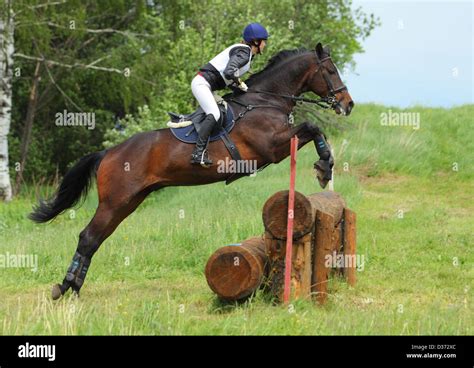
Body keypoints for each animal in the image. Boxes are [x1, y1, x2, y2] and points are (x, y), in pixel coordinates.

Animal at [29, 42, 354, 300]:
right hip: (115, 201)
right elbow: (313, 126)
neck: (265, 100)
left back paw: (72, 287)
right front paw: (324, 167)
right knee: (87, 237)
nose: (348, 104)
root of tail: (108, 152)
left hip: (127, 203)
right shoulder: (271, 148)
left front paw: (325, 167)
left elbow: (312, 129)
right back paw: (65, 287)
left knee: (94, 239)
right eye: (331, 71)